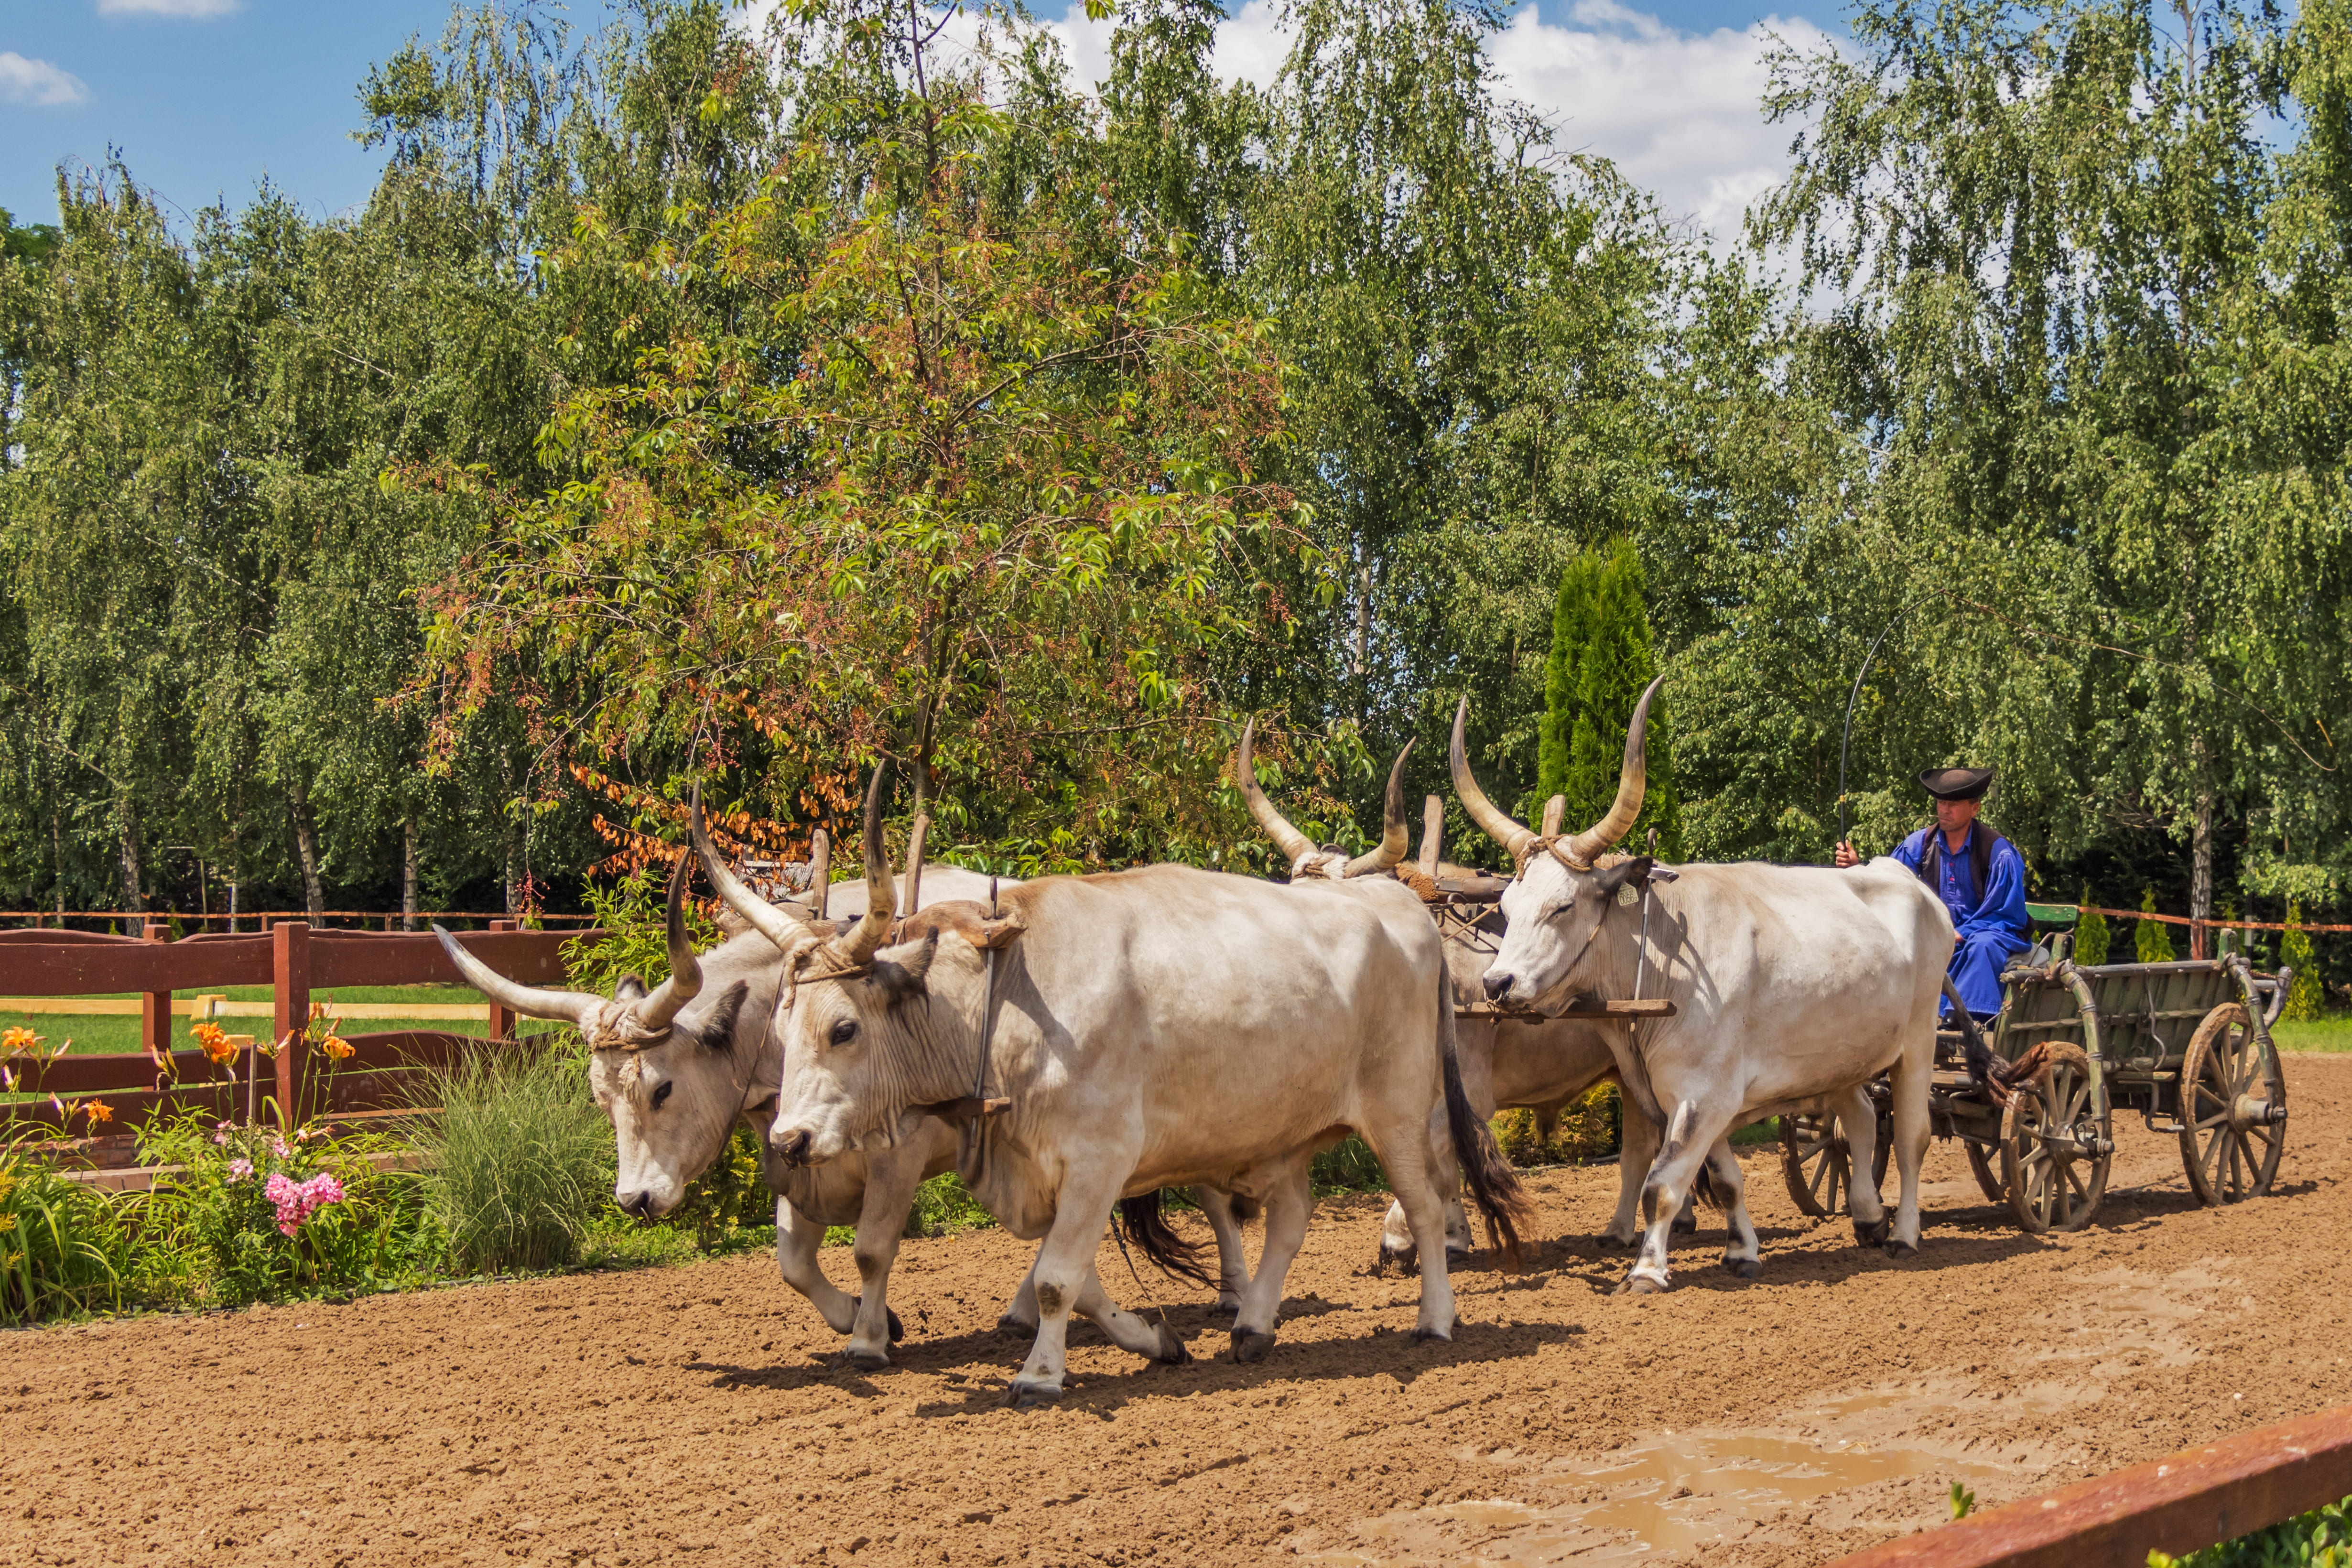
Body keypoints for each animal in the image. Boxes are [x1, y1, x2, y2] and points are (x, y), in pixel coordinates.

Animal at [729, 767, 1533, 1407]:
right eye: (784, 1021)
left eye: (843, 1028)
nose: (789, 1139)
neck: (1009, 997)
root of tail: (1404, 910)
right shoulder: (1052, 1172)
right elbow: (1077, 1282)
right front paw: (1156, 1340)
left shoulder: (1100, 1158)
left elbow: (1056, 1279)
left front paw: (1039, 1376)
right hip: (1288, 1126)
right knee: (1292, 1218)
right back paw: (1253, 1326)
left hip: (1398, 1112)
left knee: (1425, 1207)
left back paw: (1434, 1320)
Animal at [1450, 677, 1950, 1292]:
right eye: (1505, 904)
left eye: (1562, 906)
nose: (1496, 982)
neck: (1662, 966)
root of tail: (1906, 880)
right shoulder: (1695, 1098)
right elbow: (1726, 1176)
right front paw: (1741, 1251)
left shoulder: (1703, 1093)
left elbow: (1662, 1183)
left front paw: (1646, 1268)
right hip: (1840, 1055)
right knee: (1856, 1117)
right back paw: (1867, 1216)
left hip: (1919, 1041)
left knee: (1910, 1138)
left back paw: (1903, 1233)